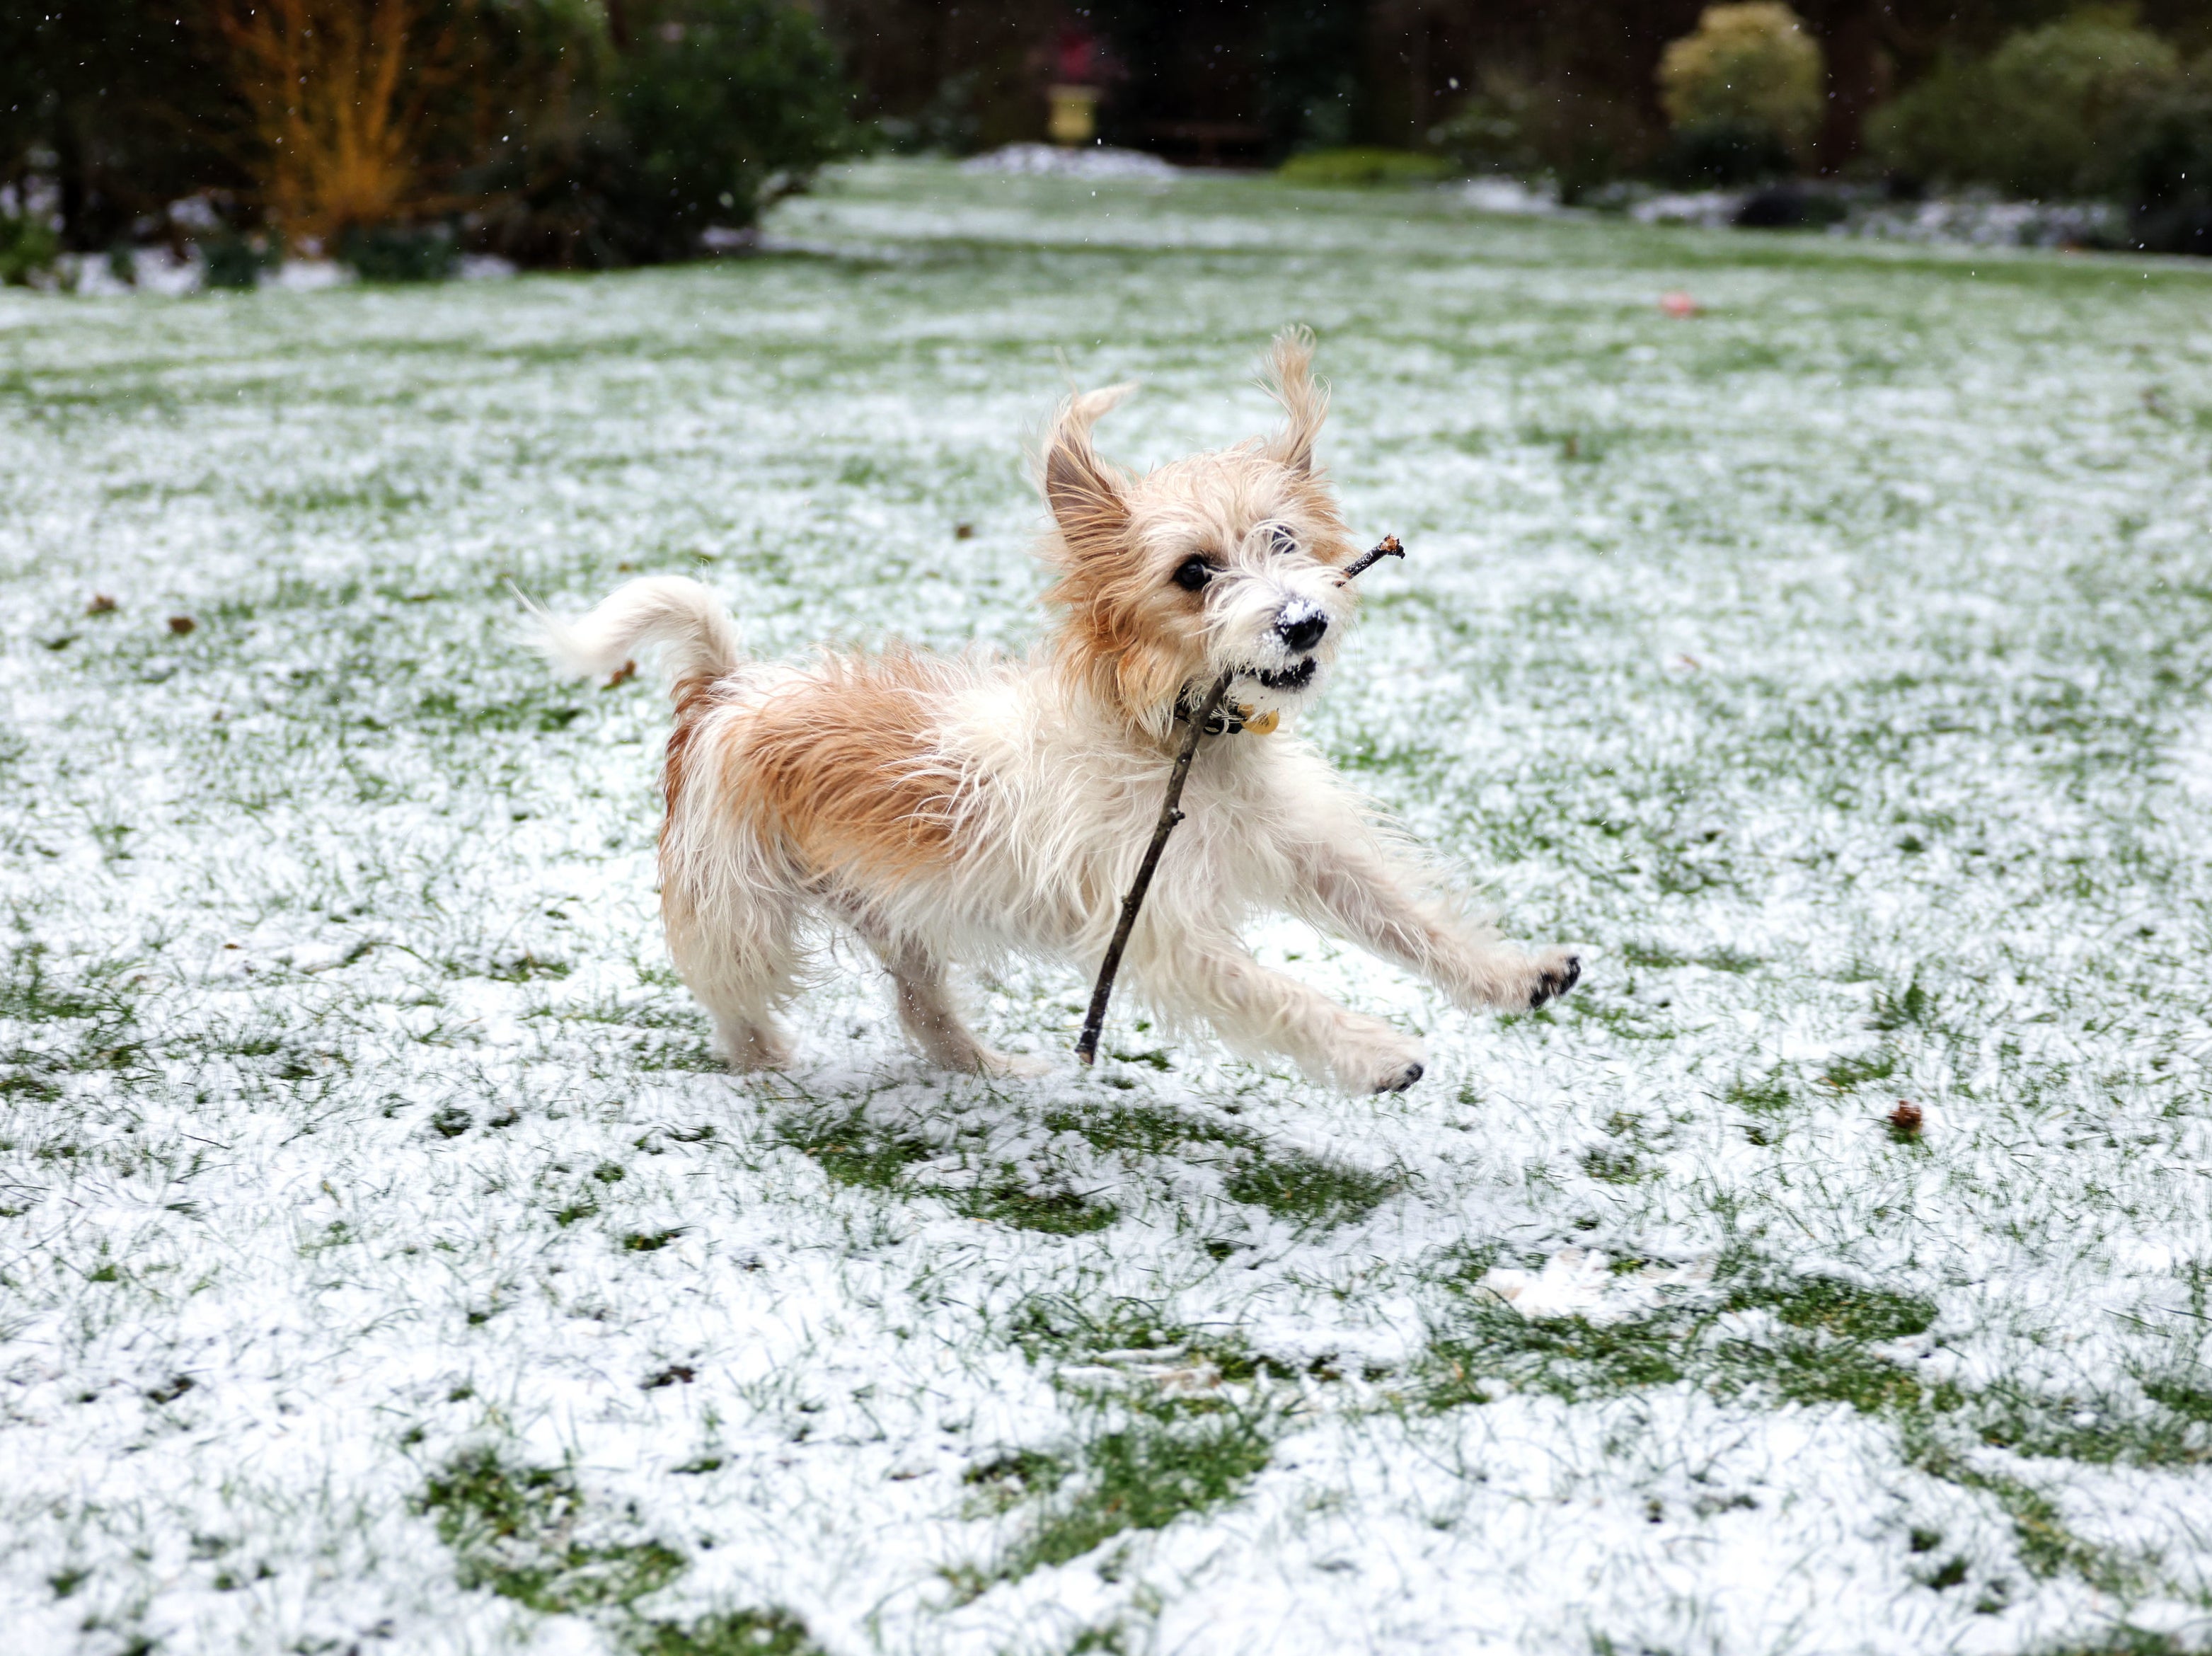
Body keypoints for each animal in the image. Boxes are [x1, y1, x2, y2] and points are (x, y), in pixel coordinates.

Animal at [533, 329, 1574, 1092]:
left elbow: (1403, 913)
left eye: (1282, 541)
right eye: (1193, 573)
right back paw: (767, 1071)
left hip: (895, 911)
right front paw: (1371, 1052)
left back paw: (984, 1068)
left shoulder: (1304, 849)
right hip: (740, 909)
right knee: (733, 997)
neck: (1170, 735)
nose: (1302, 621)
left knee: (920, 1007)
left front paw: (1512, 973)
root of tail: (726, 687)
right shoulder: (1156, 927)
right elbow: (1273, 991)